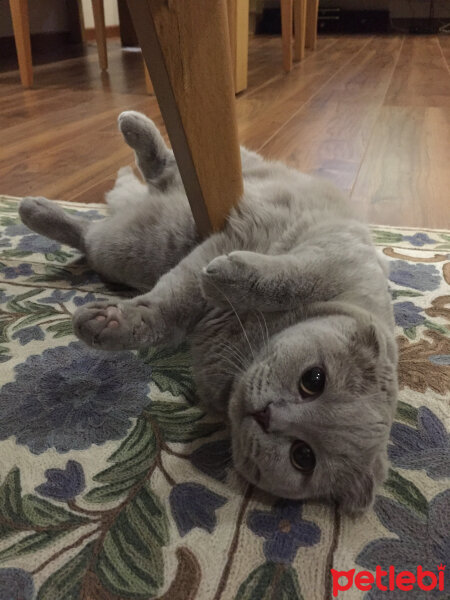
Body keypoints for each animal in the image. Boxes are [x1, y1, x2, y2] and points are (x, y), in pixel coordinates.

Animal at [18, 110, 398, 512]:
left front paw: (110, 322)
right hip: (199, 198)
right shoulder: (333, 251)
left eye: (302, 456)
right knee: (158, 168)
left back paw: (37, 210)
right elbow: (286, 279)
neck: (244, 338)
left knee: (94, 230)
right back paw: (129, 130)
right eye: (313, 380)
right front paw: (219, 277)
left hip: (130, 249)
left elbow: (168, 315)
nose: (268, 415)